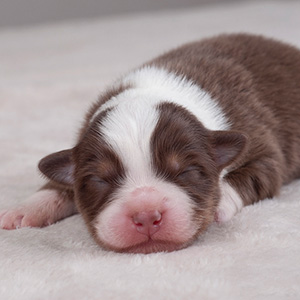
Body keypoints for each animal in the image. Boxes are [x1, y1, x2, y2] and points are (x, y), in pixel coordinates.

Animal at [0, 33, 300, 253]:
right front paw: (24, 210)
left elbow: (255, 177)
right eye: (99, 180)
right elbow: (59, 183)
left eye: (187, 172)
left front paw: (220, 201)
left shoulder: (264, 147)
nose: (145, 216)